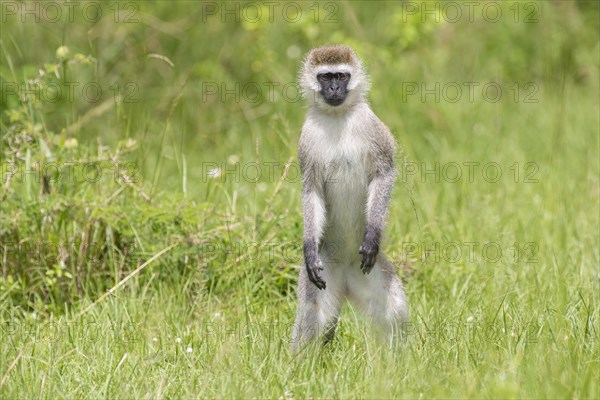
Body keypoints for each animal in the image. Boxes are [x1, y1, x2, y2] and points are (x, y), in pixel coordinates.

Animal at [290, 44, 408, 350]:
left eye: (341, 76)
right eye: (325, 76)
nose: (333, 88)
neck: (337, 116)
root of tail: (345, 276)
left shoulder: (372, 126)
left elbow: (384, 173)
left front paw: (373, 234)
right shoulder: (306, 140)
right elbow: (312, 190)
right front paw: (308, 246)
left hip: (369, 273)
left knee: (393, 309)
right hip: (325, 273)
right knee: (312, 314)